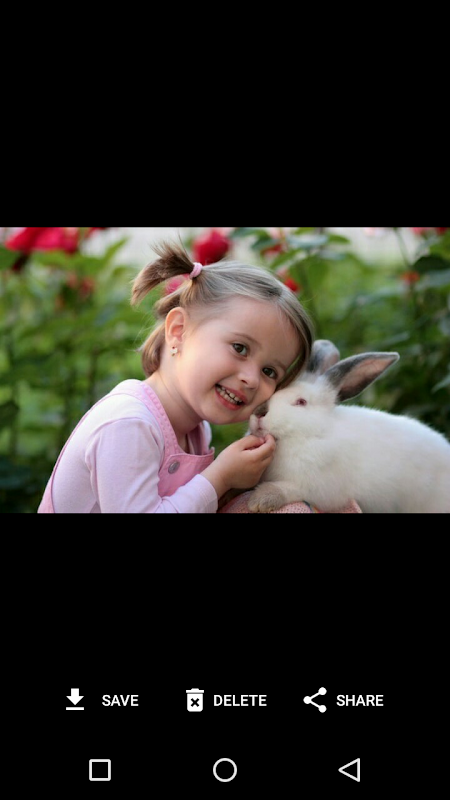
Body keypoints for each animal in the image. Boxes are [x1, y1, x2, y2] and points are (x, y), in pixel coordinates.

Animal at [247, 340, 450, 513]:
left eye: (301, 402)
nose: (259, 412)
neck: (311, 434)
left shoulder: (316, 488)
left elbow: (288, 489)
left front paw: (259, 501)